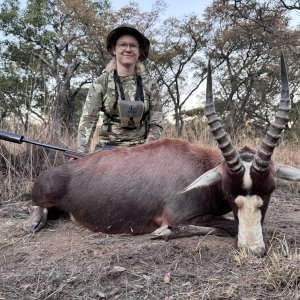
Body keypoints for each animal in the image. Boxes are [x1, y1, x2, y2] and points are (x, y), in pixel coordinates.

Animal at [30, 54, 300, 255]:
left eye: (270, 191)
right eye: (228, 192)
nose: (252, 249)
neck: (197, 164)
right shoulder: (179, 215)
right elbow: (225, 226)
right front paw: (163, 233)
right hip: (43, 197)